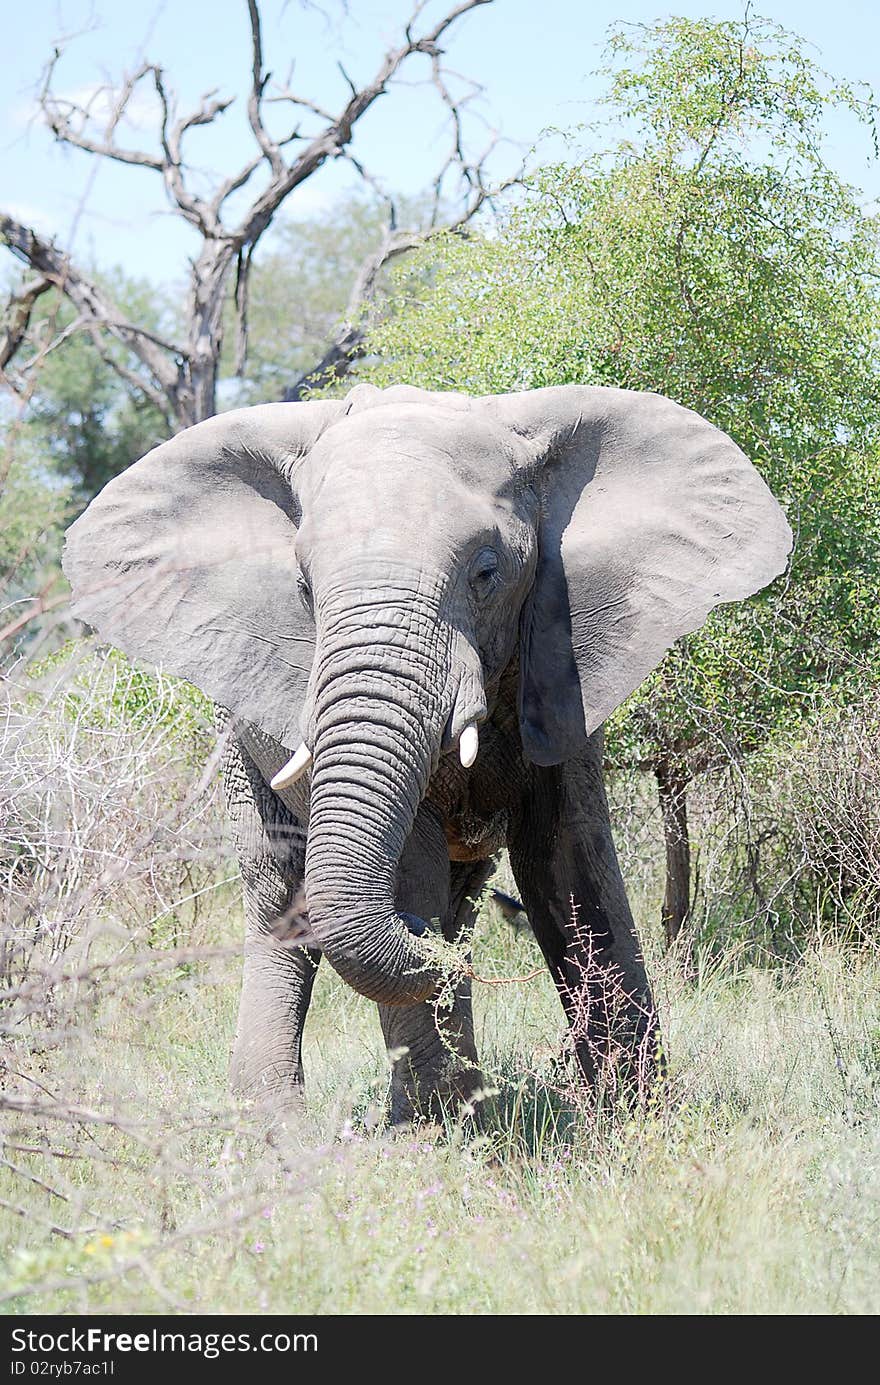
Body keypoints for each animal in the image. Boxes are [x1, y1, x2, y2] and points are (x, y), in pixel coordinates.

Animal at [62, 379, 792, 1124]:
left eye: (487, 572)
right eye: (304, 587)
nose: (411, 930)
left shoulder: (561, 660)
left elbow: (567, 854)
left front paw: (637, 1113)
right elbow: (411, 859)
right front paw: (435, 1131)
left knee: (458, 901)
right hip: (239, 737)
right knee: (280, 890)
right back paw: (278, 1115)